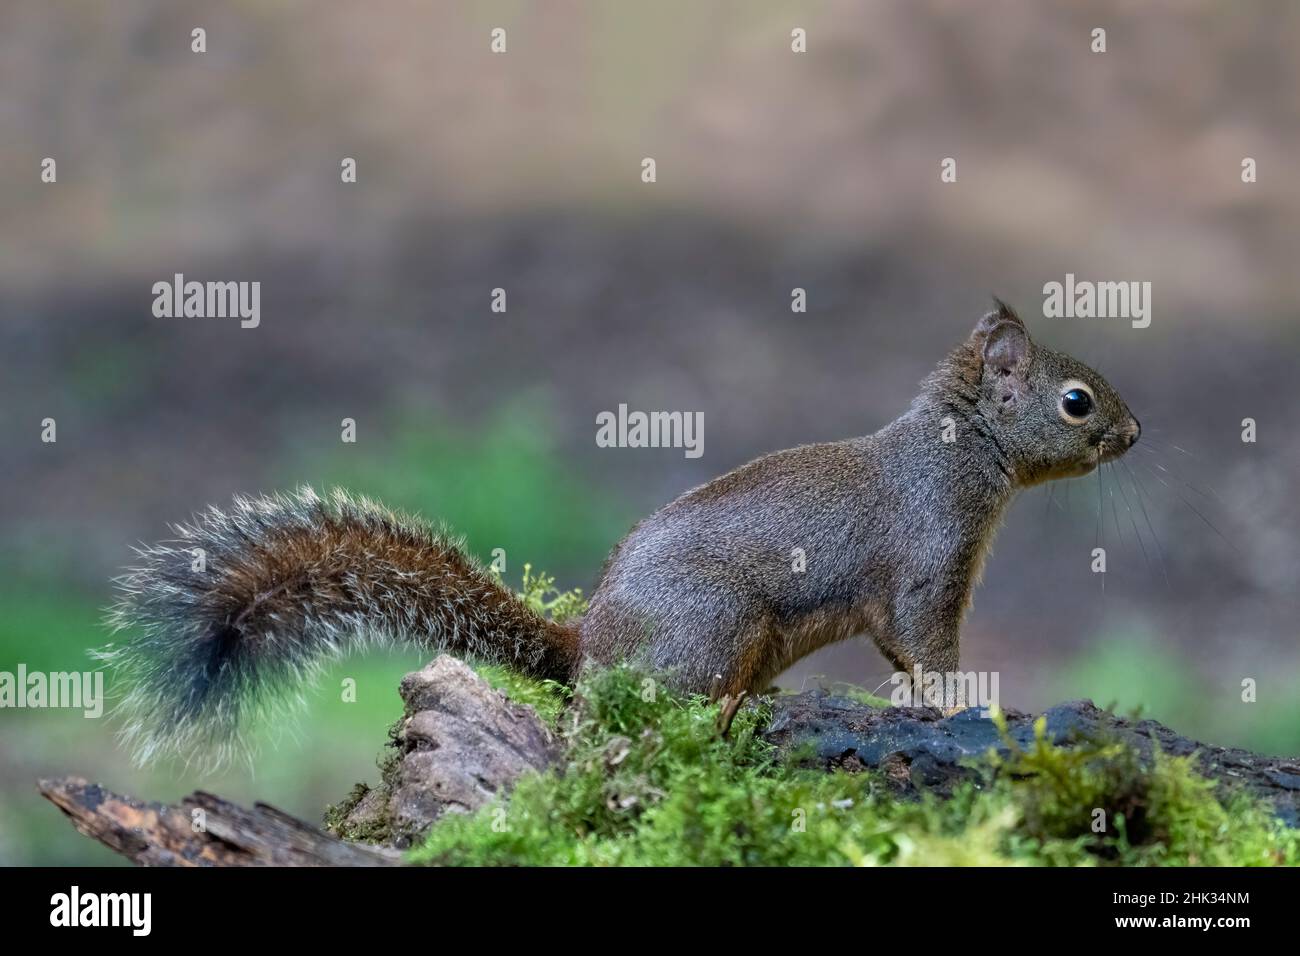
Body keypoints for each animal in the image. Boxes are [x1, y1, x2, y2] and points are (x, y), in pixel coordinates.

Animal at [100, 300, 1139, 763]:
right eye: (1077, 402)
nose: (1134, 432)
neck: (957, 453)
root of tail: (586, 644)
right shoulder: (928, 563)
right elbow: (925, 646)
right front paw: (974, 705)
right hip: (717, 626)